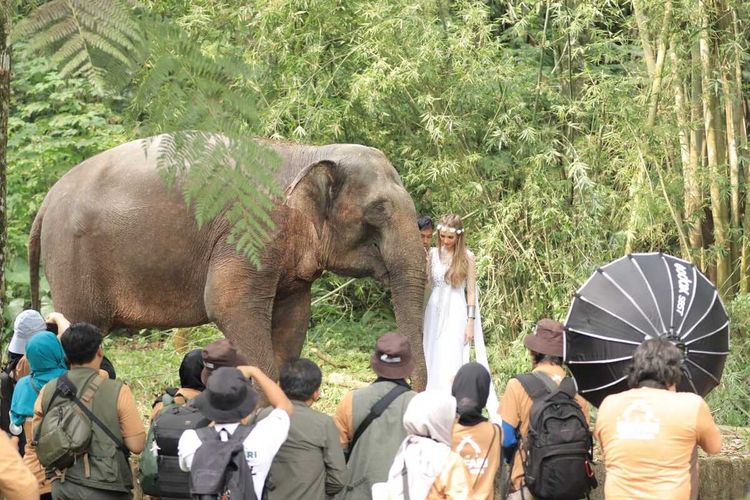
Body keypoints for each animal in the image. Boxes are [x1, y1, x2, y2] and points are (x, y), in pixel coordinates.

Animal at [27, 135, 428, 384]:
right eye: (378, 210)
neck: (306, 152)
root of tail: (44, 204)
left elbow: (294, 316)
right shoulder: (249, 231)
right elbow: (228, 303)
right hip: (72, 260)